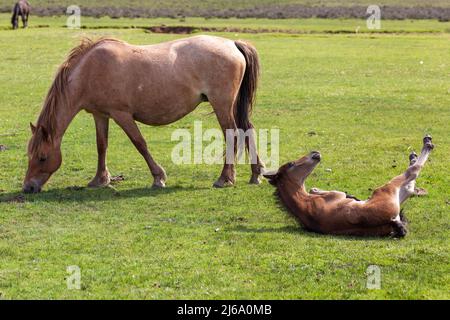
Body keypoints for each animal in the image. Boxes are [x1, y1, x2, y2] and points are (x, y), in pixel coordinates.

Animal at [22, 36, 264, 194]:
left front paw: (158, 177)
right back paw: (256, 173)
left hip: (222, 104)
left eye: (42, 157)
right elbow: (101, 146)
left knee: (233, 134)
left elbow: (139, 143)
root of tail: (232, 44)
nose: (28, 187)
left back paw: (225, 178)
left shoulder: (122, 114)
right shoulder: (100, 115)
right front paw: (100, 179)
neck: (90, 70)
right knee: (247, 130)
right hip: (232, 104)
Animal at [264, 135, 432, 238]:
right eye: (291, 164)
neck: (305, 202)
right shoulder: (336, 195)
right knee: (413, 172)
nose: (315, 153)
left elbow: (313, 189)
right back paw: (427, 143)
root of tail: (392, 221)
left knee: (410, 185)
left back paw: (413, 156)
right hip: (389, 189)